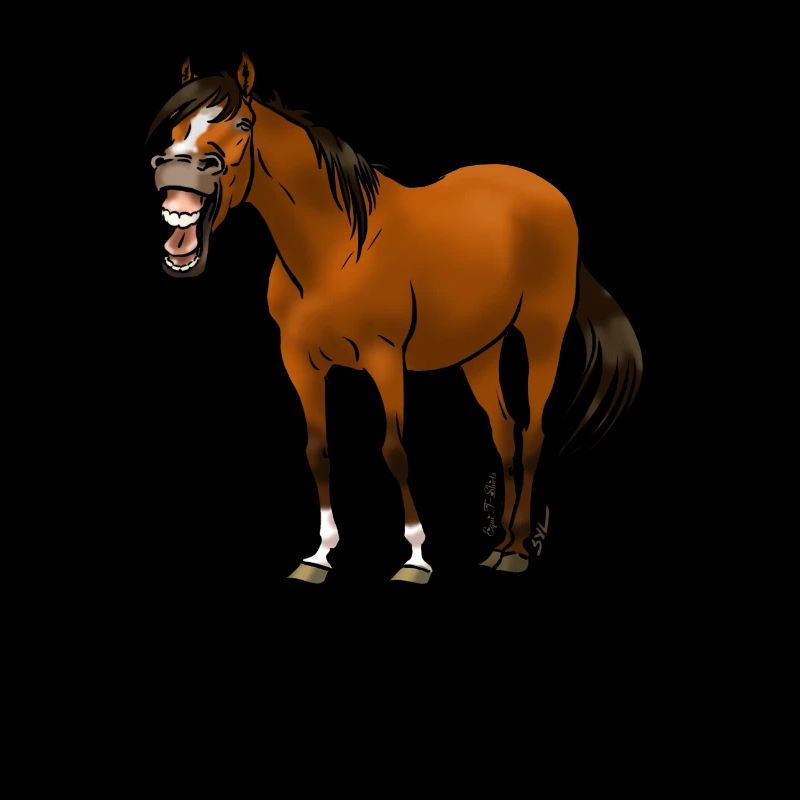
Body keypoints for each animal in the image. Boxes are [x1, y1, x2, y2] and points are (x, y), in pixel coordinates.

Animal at [147, 53, 642, 585]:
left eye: (242, 123)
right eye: (177, 125)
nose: (177, 166)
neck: (336, 250)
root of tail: (551, 195)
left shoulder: (385, 358)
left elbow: (394, 451)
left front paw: (416, 558)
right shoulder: (300, 362)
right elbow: (317, 451)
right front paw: (318, 556)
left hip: (541, 333)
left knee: (532, 433)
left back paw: (517, 553)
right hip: (481, 351)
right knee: (505, 429)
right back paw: (500, 543)